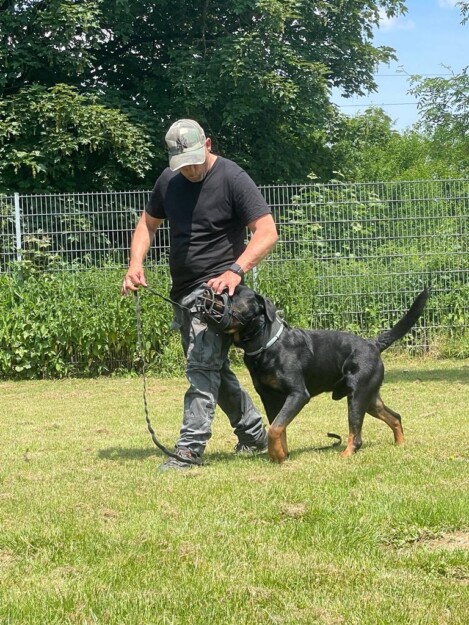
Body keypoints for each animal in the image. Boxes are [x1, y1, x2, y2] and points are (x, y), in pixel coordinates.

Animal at [223, 286, 428, 460]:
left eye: (233, 294)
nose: (215, 293)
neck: (265, 344)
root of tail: (373, 344)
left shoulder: (298, 394)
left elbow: (275, 428)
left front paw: (278, 454)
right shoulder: (269, 397)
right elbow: (279, 428)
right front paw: (281, 455)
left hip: (357, 396)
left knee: (357, 435)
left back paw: (345, 455)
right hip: (370, 399)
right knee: (395, 417)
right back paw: (400, 445)